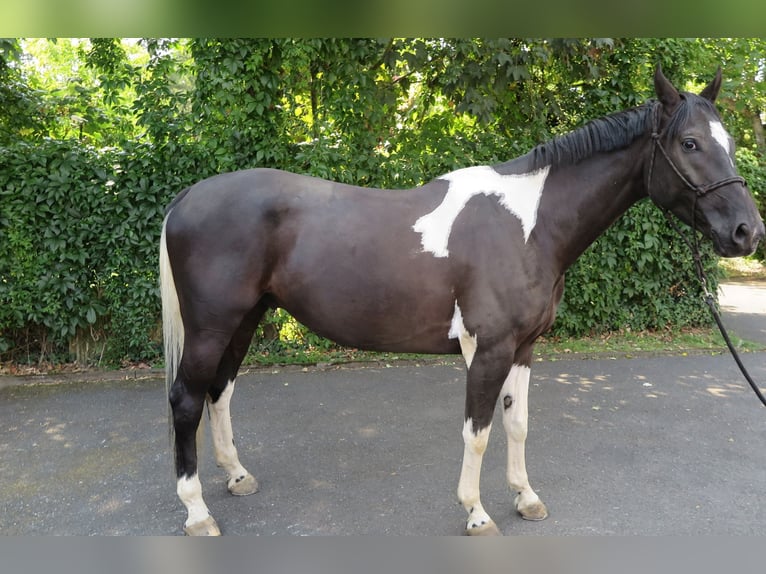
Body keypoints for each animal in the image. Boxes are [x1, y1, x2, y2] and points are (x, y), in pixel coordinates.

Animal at [159, 66, 764, 535]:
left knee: (219, 391)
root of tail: (187, 196)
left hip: (244, 320)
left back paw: (237, 477)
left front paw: (525, 498)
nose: (747, 232)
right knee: (186, 400)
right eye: (690, 143)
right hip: (211, 327)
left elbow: (517, 425)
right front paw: (476, 513)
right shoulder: (488, 349)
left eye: (731, 144)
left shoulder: (524, 348)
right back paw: (196, 511)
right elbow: (478, 433)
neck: (529, 226)